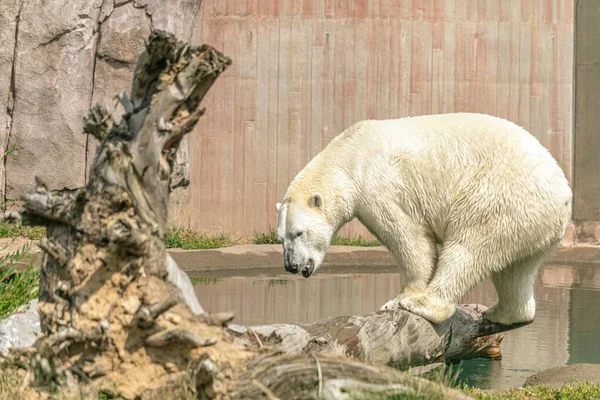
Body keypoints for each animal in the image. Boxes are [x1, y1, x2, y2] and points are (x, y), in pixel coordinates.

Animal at [276, 111, 572, 324]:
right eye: (280, 238)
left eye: (299, 232)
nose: (291, 265)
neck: (349, 157)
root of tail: (563, 193)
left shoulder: (379, 187)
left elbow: (408, 237)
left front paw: (399, 299)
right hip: (530, 223)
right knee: (515, 269)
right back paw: (504, 313)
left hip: (498, 198)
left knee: (469, 249)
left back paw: (426, 305)